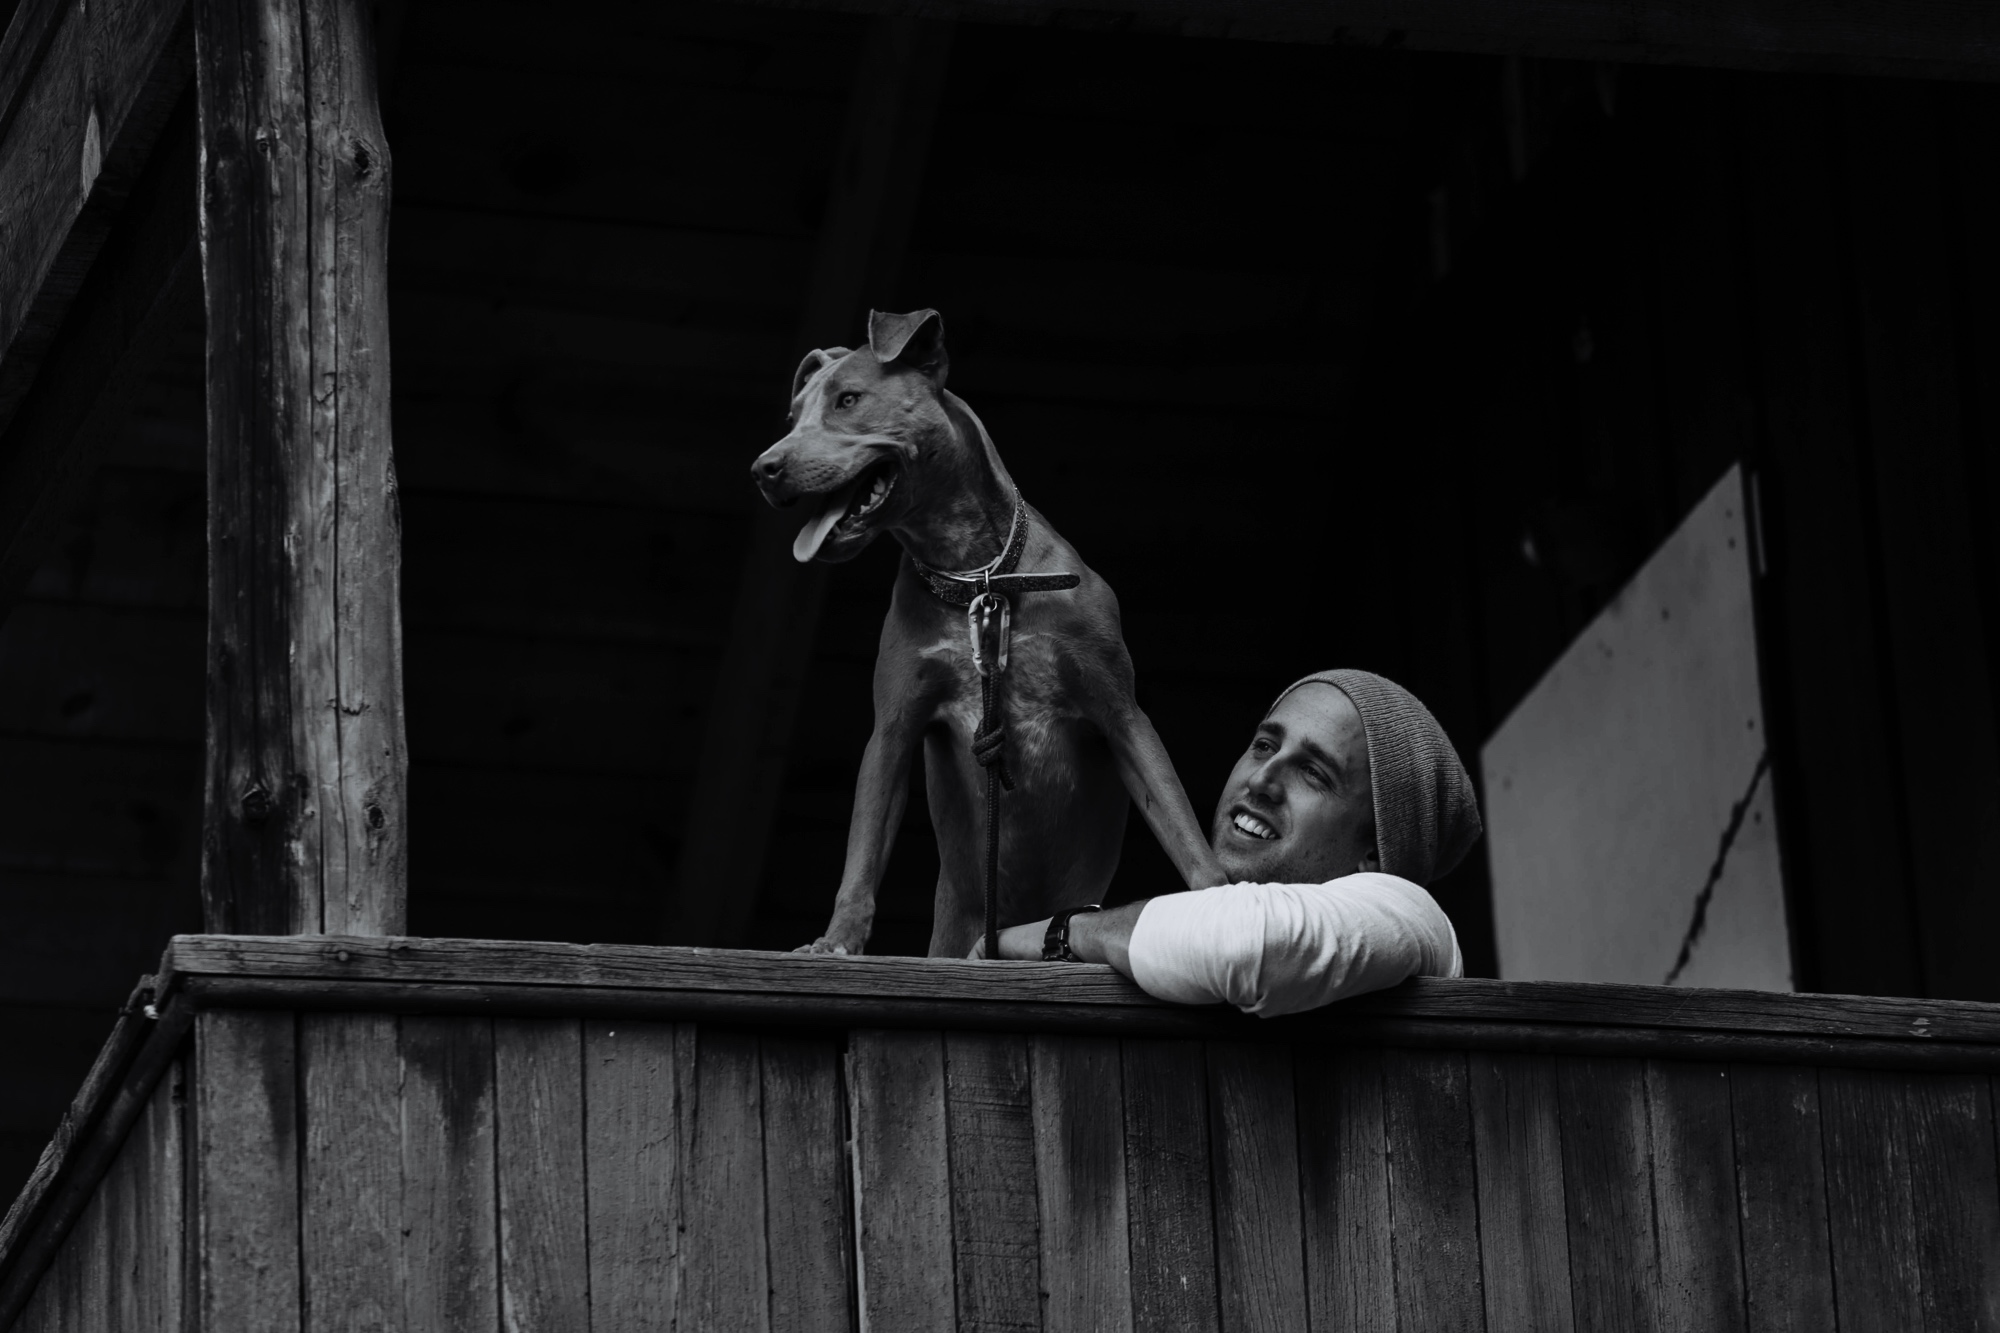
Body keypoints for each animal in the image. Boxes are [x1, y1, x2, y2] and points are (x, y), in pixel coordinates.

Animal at [752, 308, 1216, 956]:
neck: (978, 575)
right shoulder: (894, 727)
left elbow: (1183, 829)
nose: (763, 469)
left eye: (848, 400)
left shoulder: (1121, 713)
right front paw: (837, 941)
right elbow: (861, 856)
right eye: (794, 418)